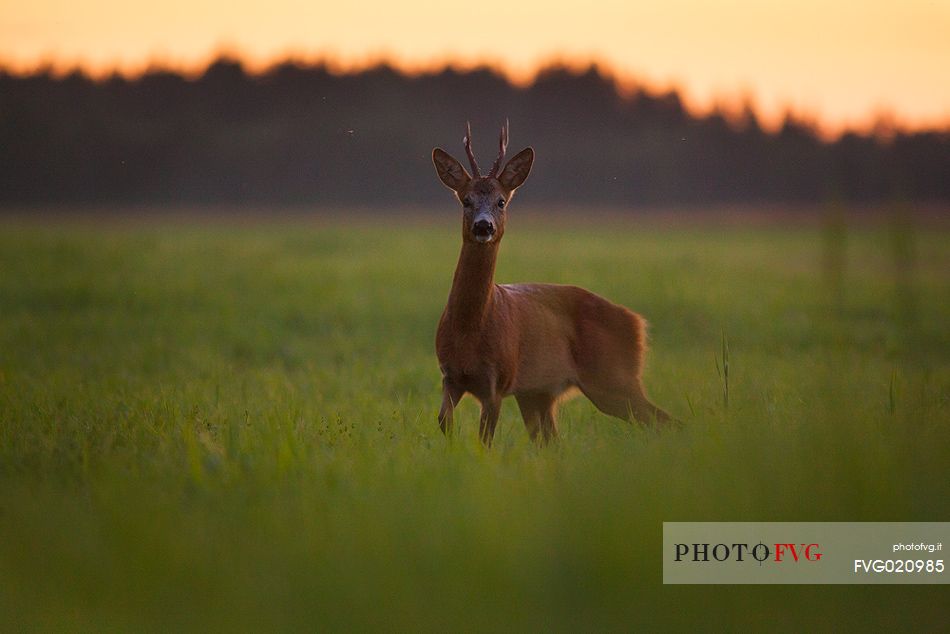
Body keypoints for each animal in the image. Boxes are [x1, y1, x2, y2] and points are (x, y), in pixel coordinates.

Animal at [436, 119, 672, 444]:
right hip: (540, 392)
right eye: (466, 200)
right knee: (552, 441)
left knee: (663, 420)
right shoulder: (450, 376)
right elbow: (444, 423)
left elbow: (485, 439)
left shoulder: (498, 381)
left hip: (614, 377)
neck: (469, 333)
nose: (483, 226)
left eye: (501, 201)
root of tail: (638, 323)